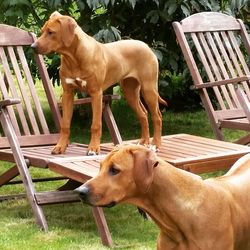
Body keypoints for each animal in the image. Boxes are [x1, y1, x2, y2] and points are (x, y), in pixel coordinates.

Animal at [31, 12, 168, 156]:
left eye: (51, 32)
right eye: (42, 31)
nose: (33, 47)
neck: (73, 57)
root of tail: (146, 46)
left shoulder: (96, 93)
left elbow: (95, 125)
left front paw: (93, 148)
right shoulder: (68, 93)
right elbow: (65, 125)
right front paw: (60, 146)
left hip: (149, 89)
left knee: (157, 116)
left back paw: (155, 144)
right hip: (130, 91)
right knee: (143, 114)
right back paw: (143, 142)